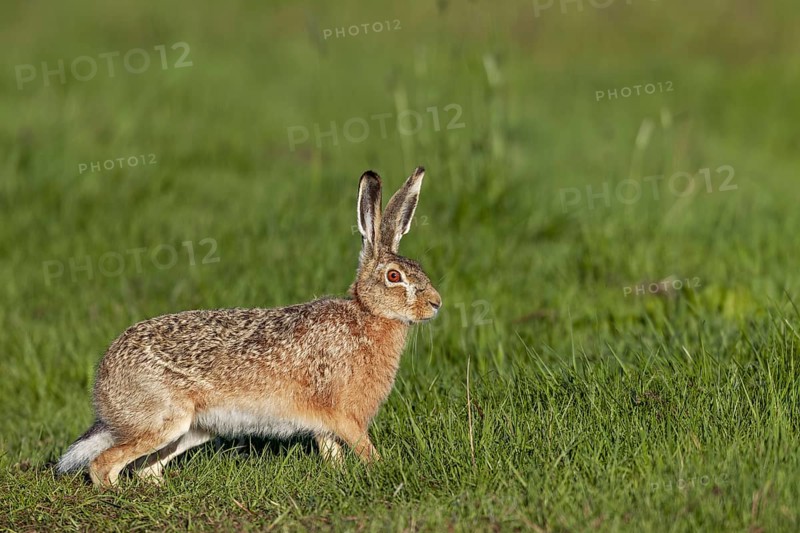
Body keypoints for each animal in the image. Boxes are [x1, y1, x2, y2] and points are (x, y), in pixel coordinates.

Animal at [56, 166, 441, 488]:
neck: (367, 315)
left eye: (419, 269)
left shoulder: (325, 425)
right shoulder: (344, 416)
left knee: (146, 468)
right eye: (394, 277)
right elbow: (364, 449)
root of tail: (103, 384)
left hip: (192, 429)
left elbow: (331, 453)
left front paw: (340, 475)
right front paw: (384, 468)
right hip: (165, 420)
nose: (436, 303)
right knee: (103, 465)